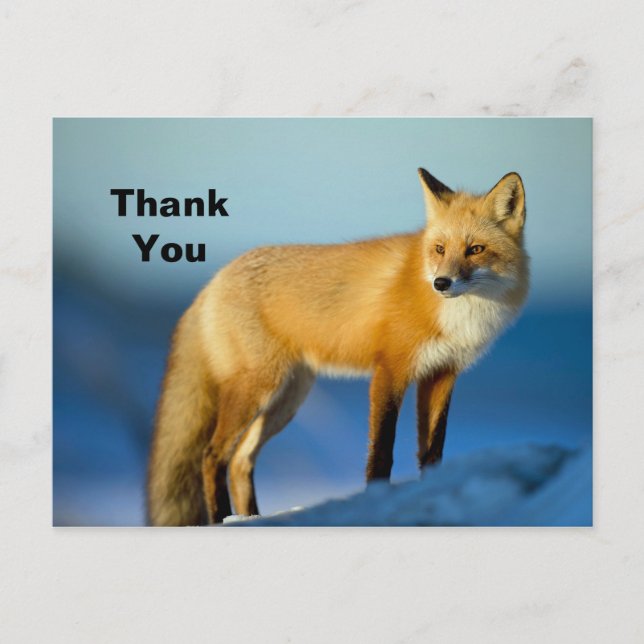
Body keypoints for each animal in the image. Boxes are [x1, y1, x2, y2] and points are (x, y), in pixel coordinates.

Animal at [147, 168, 529, 526]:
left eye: (475, 249)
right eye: (439, 249)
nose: (441, 283)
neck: (459, 316)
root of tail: (213, 282)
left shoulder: (442, 374)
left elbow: (432, 452)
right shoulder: (390, 370)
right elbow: (381, 452)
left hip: (287, 398)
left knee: (241, 460)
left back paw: (252, 518)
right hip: (257, 388)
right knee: (212, 456)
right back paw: (223, 519)